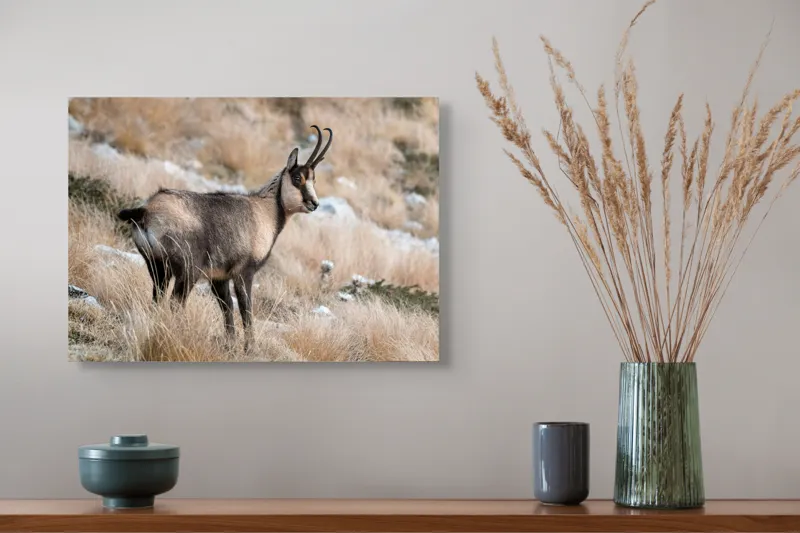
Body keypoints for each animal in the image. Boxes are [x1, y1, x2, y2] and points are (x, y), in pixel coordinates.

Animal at [117, 125, 333, 351]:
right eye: (298, 178)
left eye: (314, 179)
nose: (314, 203)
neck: (266, 212)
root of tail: (146, 211)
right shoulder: (244, 272)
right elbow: (246, 309)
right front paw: (250, 347)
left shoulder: (219, 277)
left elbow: (227, 306)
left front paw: (231, 344)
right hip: (187, 271)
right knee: (176, 303)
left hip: (157, 267)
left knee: (158, 299)